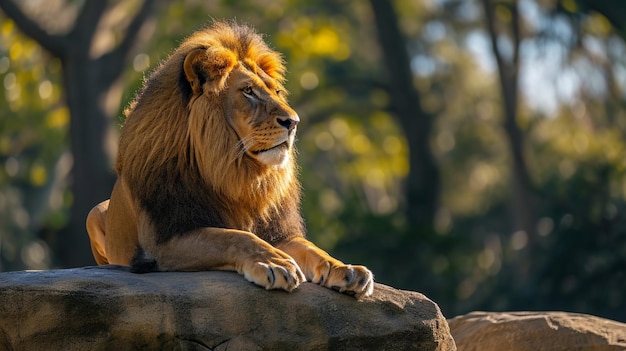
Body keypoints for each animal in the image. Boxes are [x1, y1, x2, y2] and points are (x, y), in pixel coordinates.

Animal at [85, 21, 372, 300]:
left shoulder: (277, 232)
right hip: (94, 212)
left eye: (277, 91)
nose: (293, 122)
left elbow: (311, 248)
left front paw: (345, 269)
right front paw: (274, 263)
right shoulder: (164, 240)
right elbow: (234, 237)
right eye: (248, 91)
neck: (233, 172)